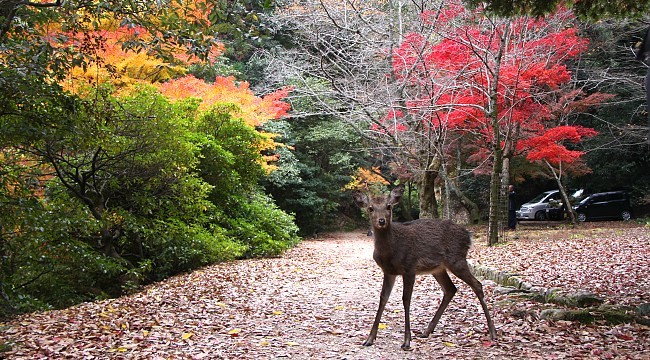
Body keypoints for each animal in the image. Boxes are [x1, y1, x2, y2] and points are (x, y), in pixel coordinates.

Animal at [352, 184, 494, 350]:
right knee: (450, 289)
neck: (391, 252)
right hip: (439, 269)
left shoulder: (409, 267)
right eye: (370, 208)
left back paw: (493, 332)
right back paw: (426, 331)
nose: (381, 221)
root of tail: (469, 236)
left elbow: (406, 299)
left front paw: (407, 341)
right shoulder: (388, 271)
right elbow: (383, 298)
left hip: (457, 260)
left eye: (389, 206)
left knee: (477, 285)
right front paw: (369, 339)